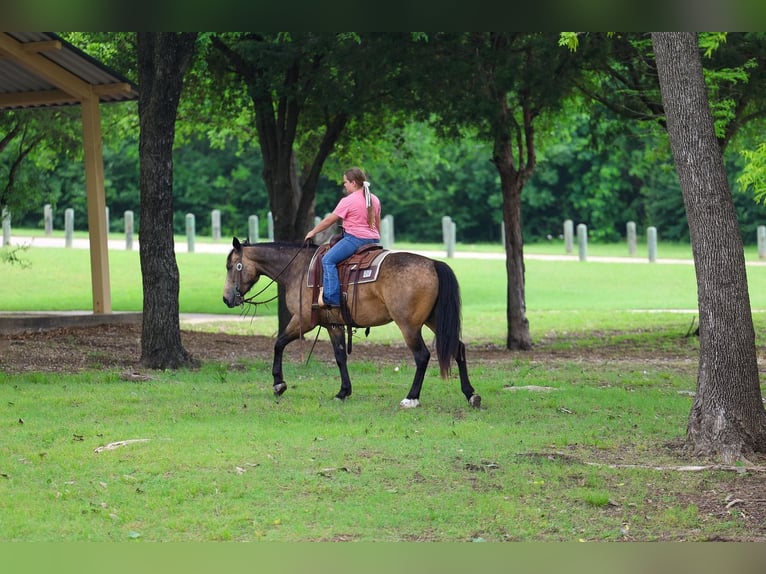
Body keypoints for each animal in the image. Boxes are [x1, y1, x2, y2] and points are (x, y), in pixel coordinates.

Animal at [221, 237, 481, 409]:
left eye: (231, 266)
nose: (226, 299)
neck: (298, 269)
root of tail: (433, 263)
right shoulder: (333, 325)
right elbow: (339, 357)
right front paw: (343, 391)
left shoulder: (303, 320)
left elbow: (278, 343)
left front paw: (279, 384)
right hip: (433, 320)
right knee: (458, 349)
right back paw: (470, 394)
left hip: (408, 325)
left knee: (422, 356)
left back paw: (411, 398)